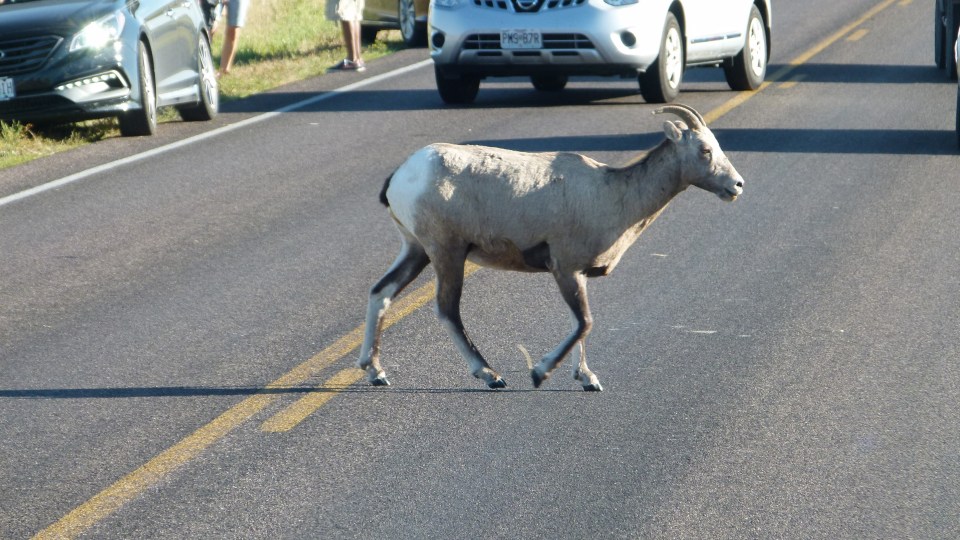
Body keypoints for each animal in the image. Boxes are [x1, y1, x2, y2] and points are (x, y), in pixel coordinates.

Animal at [357, 104, 743, 391]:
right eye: (705, 150)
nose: (737, 186)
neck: (613, 195)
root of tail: (401, 176)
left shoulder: (580, 275)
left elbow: (583, 324)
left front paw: (587, 379)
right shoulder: (565, 269)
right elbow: (584, 322)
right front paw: (540, 373)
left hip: (416, 251)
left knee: (381, 292)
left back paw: (376, 372)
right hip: (446, 253)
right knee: (447, 309)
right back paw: (491, 376)